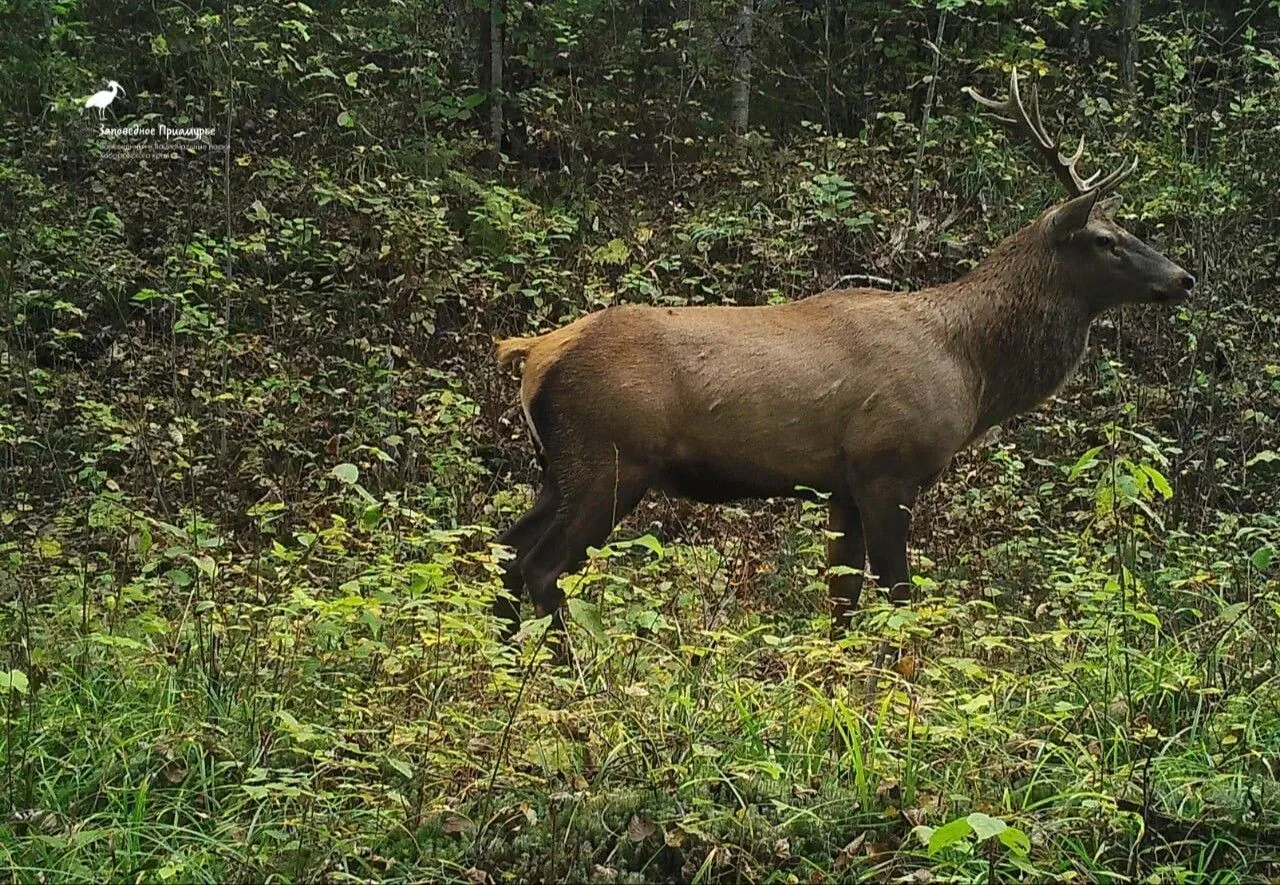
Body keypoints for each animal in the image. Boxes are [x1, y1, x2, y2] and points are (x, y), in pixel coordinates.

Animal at [486, 71, 1187, 642]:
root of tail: (532, 354)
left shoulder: (841, 485)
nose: (1183, 278)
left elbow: (842, 599)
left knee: (503, 555)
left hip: (558, 467)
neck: (971, 369)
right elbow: (898, 596)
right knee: (541, 567)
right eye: (1105, 239)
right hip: (612, 459)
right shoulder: (888, 466)